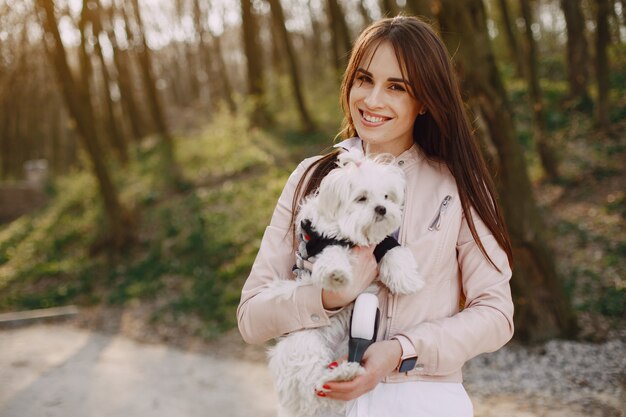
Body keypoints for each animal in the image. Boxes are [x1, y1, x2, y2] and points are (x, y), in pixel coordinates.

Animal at [266, 150, 422, 416]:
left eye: (386, 196)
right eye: (362, 198)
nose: (382, 208)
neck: (351, 234)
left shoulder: (381, 244)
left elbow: (393, 251)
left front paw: (406, 279)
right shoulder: (322, 242)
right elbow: (332, 255)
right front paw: (337, 274)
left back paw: (346, 372)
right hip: (304, 343)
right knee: (316, 386)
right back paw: (340, 377)